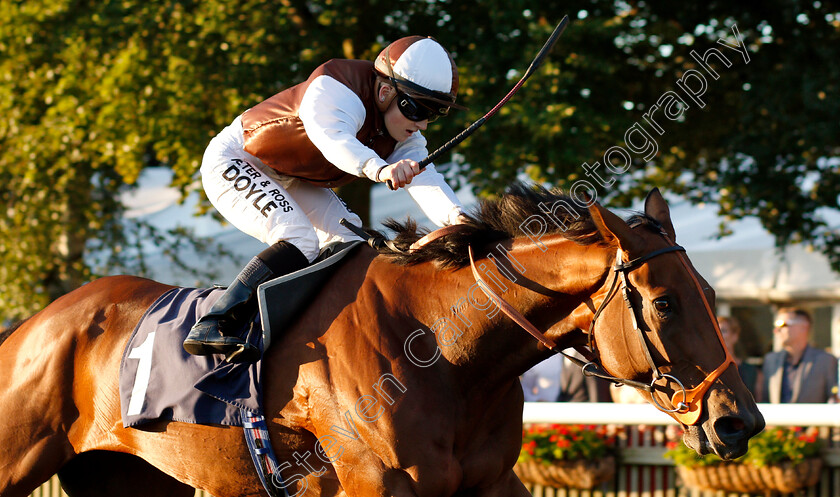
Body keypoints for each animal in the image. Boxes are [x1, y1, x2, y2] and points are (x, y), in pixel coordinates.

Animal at [0, 185, 760, 496]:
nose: (741, 421)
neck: (448, 354)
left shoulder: (489, 480)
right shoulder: (375, 484)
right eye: (664, 302)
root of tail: (33, 323)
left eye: (712, 295)